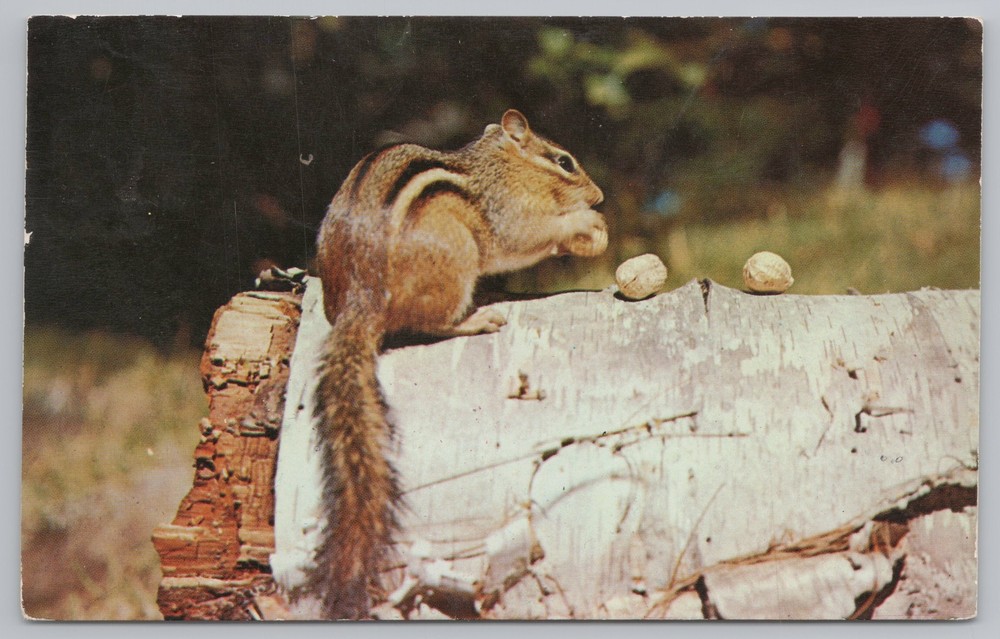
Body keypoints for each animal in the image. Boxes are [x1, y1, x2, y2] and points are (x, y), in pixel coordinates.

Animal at [310, 109, 607, 618]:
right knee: (431, 325)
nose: (600, 196)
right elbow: (530, 236)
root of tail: (359, 302)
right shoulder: (510, 215)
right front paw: (584, 222)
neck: (499, 166)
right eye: (564, 161)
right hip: (456, 260)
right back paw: (479, 317)